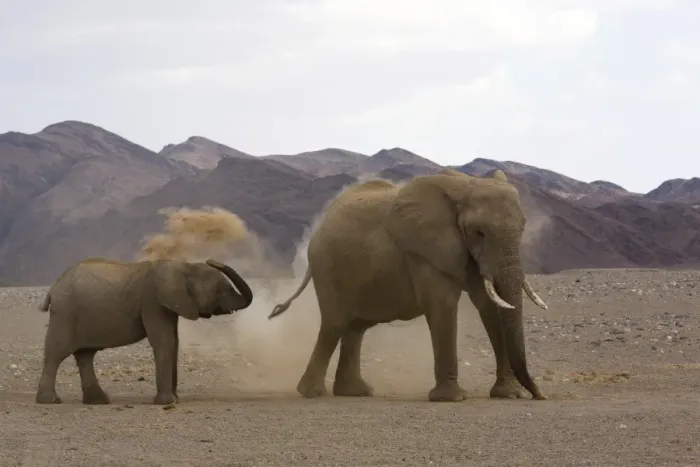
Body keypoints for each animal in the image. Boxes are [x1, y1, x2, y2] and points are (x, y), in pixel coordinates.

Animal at [35, 256, 254, 405]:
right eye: (222, 290)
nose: (211, 260)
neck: (182, 266)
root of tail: (53, 288)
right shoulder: (153, 301)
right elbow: (164, 341)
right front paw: (166, 402)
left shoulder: (168, 304)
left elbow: (173, 341)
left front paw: (174, 400)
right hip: (65, 314)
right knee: (57, 353)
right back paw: (50, 401)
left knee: (85, 355)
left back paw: (99, 401)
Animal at [268, 168, 549, 402]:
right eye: (479, 232)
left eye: (523, 228)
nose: (540, 396)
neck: (465, 186)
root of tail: (320, 226)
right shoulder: (424, 251)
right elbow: (443, 304)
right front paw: (451, 398)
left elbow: (488, 306)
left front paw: (508, 395)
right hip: (327, 266)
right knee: (334, 324)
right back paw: (311, 393)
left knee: (355, 328)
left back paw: (354, 392)